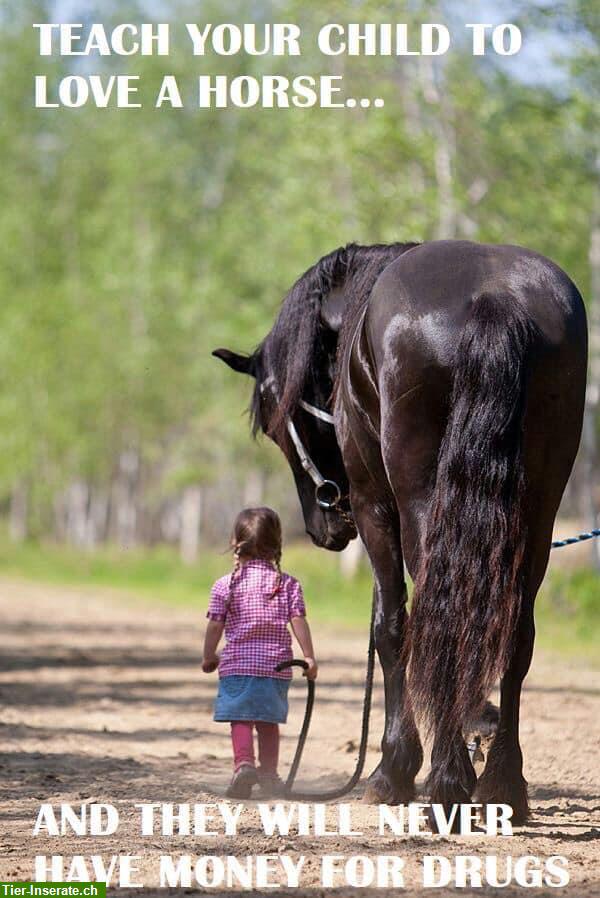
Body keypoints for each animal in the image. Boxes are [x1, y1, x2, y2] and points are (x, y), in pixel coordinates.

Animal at [214, 236, 584, 820]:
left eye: (276, 418)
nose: (324, 525)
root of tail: (495, 297)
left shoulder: (374, 506)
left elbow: (390, 627)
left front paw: (394, 768)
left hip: (418, 505)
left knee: (441, 616)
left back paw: (448, 779)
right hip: (539, 513)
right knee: (513, 633)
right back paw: (502, 784)